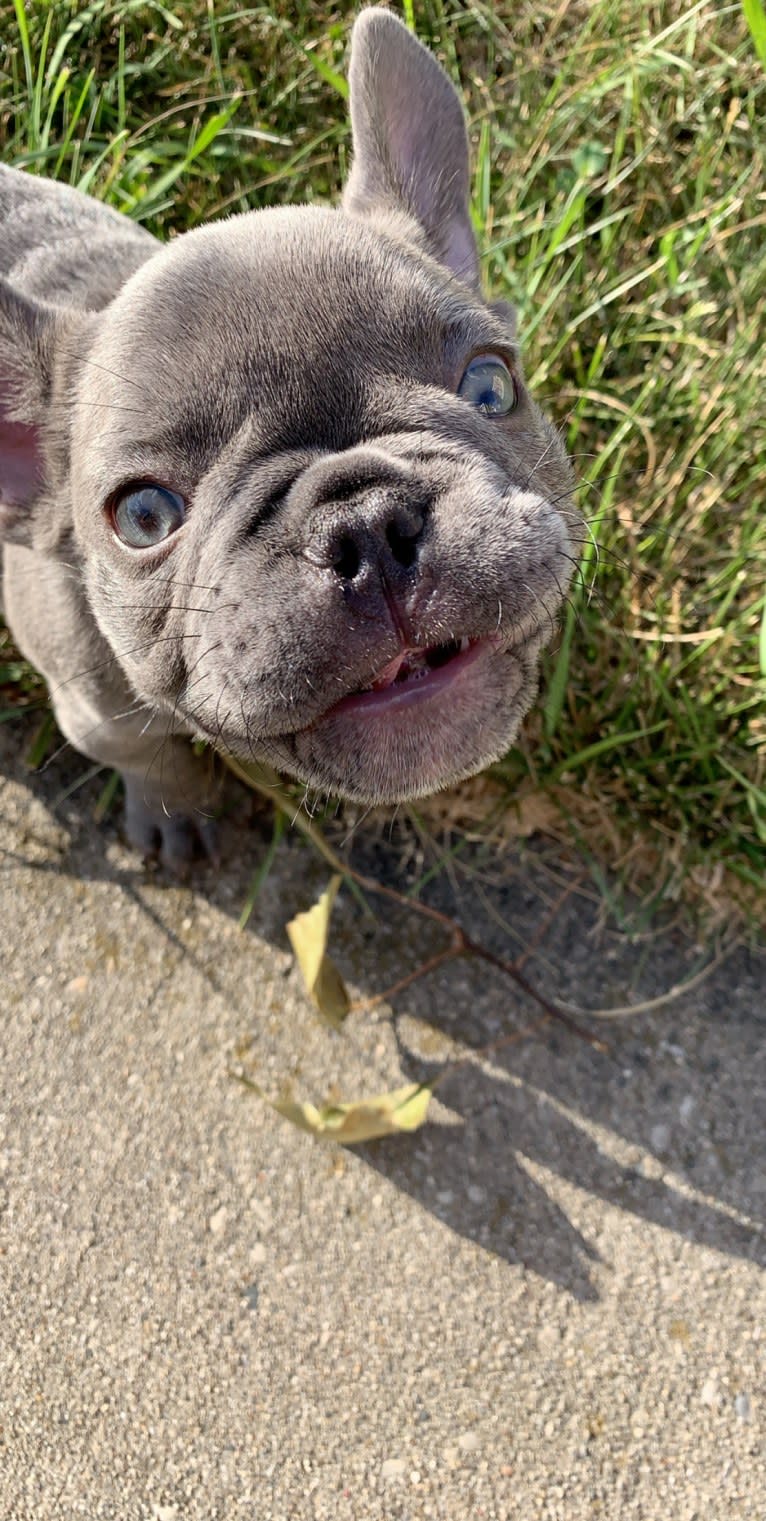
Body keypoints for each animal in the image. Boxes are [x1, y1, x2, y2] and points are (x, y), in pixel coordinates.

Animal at [0, 8, 574, 870]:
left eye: (491, 385)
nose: (366, 523)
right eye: (143, 518)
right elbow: (152, 756)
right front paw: (174, 813)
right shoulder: (95, 712)